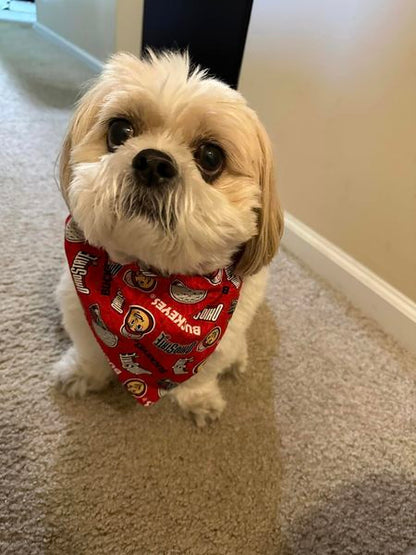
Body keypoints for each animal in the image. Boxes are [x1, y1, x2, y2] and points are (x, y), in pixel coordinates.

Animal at [52, 52, 282, 426]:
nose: (153, 162)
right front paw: (82, 373)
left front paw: (199, 399)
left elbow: (203, 374)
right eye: (119, 131)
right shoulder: (77, 309)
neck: (150, 279)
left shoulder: (219, 340)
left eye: (211, 157)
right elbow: (89, 350)